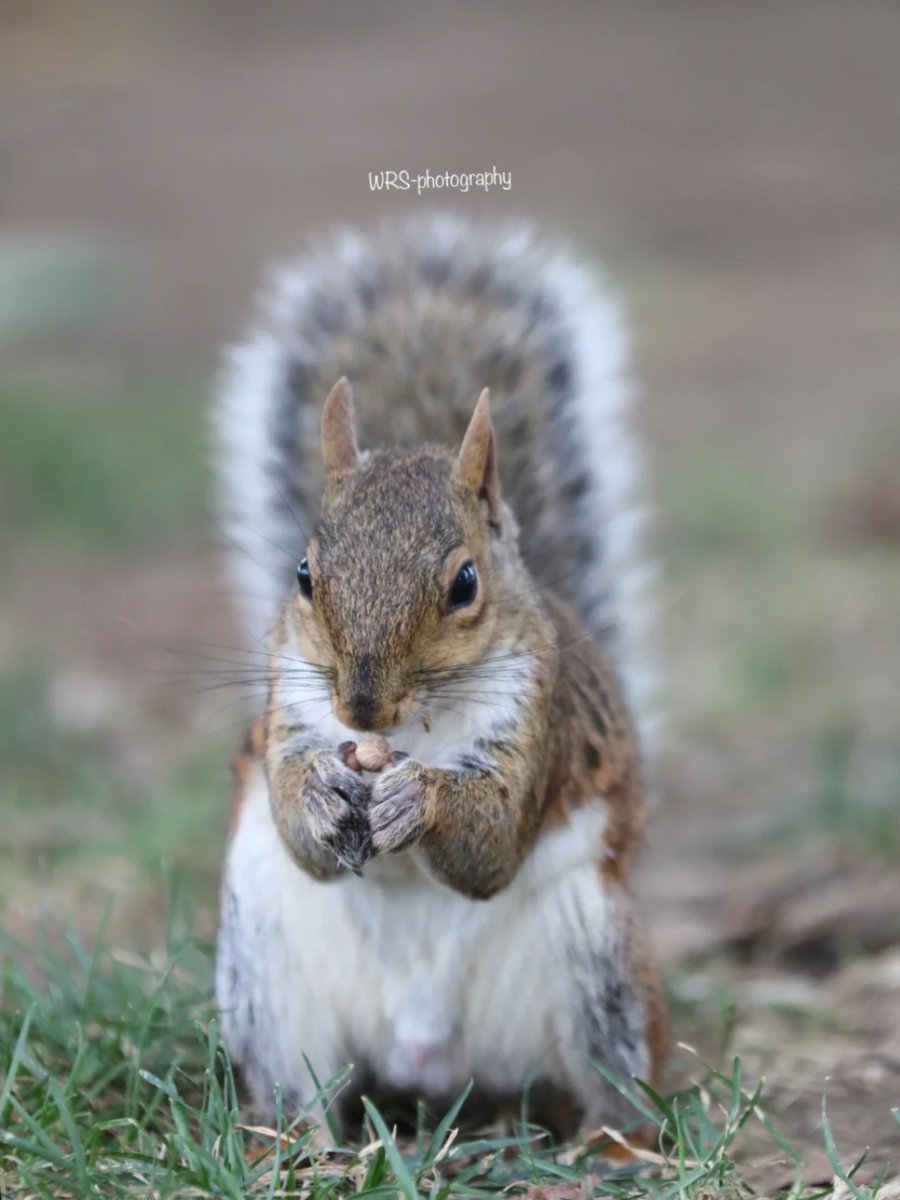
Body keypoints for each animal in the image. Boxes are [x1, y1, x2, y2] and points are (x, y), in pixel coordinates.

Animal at [213, 214, 667, 1139]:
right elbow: (295, 823)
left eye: (464, 584)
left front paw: (417, 799)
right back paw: (301, 1146)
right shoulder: (290, 700)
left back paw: (616, 1145)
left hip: (597, 961)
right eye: (304, 573)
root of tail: (428, 1054)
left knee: (617, 1073)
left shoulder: (540, 720)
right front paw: (321, 792)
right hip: (270, 976)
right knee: (297, 1081)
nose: (361, 707)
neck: (410, 730)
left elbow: (490, 844)